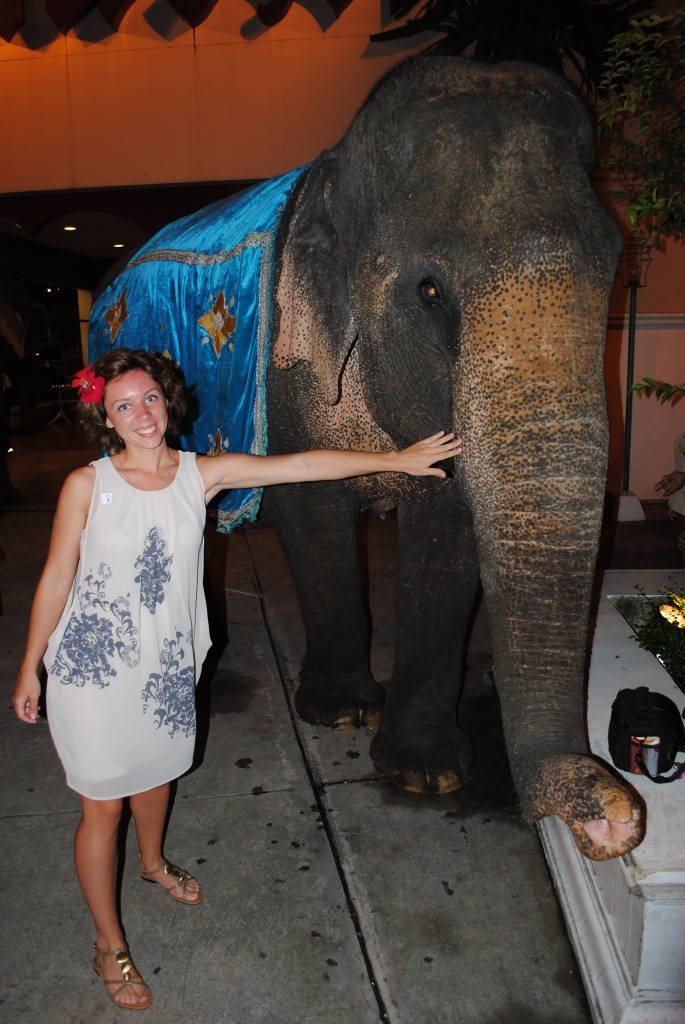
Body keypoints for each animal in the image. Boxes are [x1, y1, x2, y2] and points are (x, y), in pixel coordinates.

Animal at [88, 55, 645, 862]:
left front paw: (426, 773)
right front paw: (341, 714)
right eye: (430, 288)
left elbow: (446, 530)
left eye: (612, 269)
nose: (612, 816)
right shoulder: (287, 377)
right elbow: (313, 520)